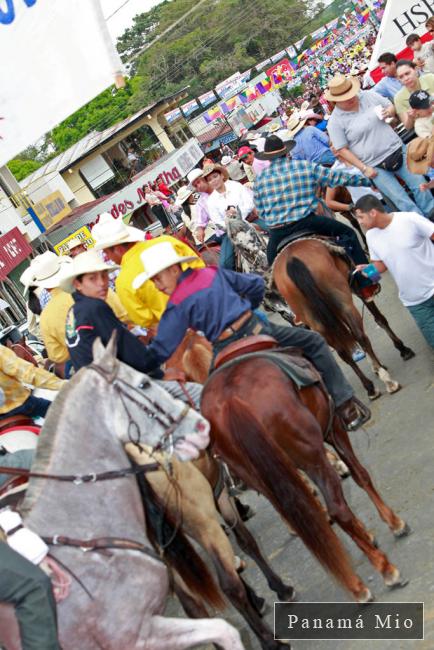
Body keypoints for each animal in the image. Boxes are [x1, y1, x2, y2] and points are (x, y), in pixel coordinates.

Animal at [201, 350, 410, 604]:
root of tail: (230, 400)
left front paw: (367, 533)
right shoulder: (333, 429)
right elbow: (360, 475)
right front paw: (394, 523)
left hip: (266, 478)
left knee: (309, 522)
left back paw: (355, 586)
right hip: (312, 455)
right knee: (337, 509)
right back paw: (386, 570)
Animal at [272, 238, 416, 398]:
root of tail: (292, 260)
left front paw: (375, 367)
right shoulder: (357, 290)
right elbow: (379, 319)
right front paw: (402, 349)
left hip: (317, 322)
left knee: (342, 351)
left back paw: (370, 387)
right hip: (345, 304)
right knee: (360, 336)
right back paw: (388, 381)